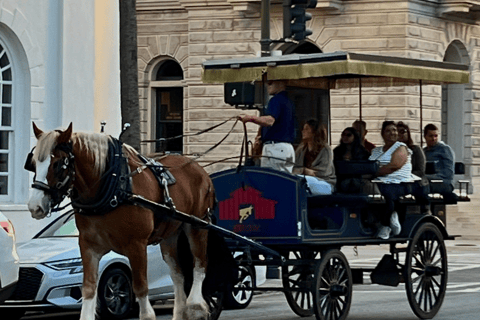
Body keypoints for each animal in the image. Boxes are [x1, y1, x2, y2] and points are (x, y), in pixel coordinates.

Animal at [26, 123, 214, 320]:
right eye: (33, 164)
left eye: (58, 164)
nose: (35, 206)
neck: (115, 186)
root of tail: (198, 168)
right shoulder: (88, 246)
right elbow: (89, 288)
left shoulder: (136, 245)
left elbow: (140, 288)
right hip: (169, 235)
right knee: (177, 274)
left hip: (198, 225)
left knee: (200, 264)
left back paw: (195, 305)